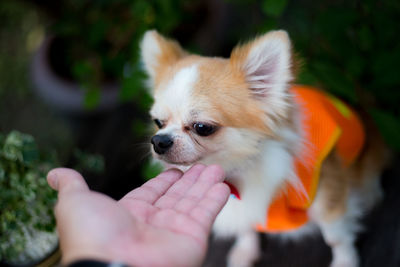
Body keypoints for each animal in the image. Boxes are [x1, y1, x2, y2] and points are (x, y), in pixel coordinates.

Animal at [140, 29, 388, 267]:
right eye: (158, 122)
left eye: (202, 127)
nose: (159, 141)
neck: (235, 166)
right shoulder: (240, 205)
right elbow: (246, 227)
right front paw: (245, 251)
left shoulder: (328, 197)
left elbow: (336, 237)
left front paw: (345, 261)